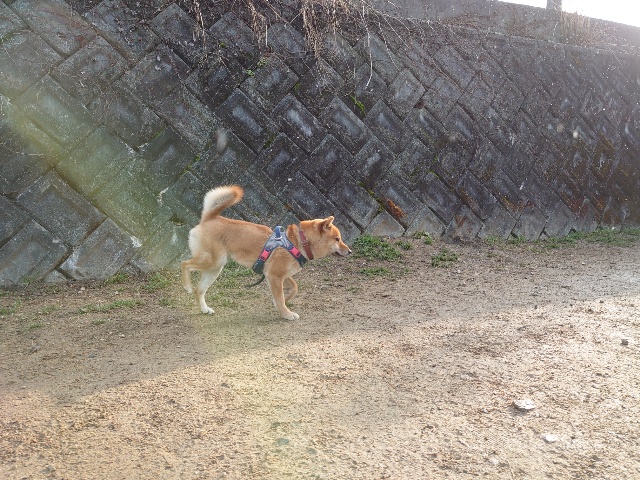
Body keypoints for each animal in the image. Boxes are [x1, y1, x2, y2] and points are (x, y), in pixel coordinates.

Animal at [181, 185, 351, 320]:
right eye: (337, 239)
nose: (349, 251)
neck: (298, 242)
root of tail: (209, 218)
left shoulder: (279, 275)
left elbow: (292, 289)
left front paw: (283, 302)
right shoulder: (274, 276)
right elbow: (280, 298)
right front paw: (286, 314)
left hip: (215, 268)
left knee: (199, 290)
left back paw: (204, 309)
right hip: (211, 262)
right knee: (185, 264)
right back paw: (187, 286)